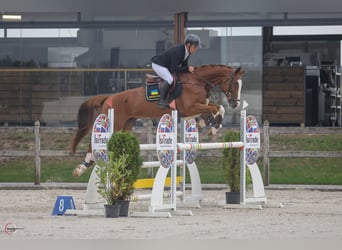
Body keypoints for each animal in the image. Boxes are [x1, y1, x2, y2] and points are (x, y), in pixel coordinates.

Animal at [71, 65, 243, 177]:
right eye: (235, 83)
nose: (236, 104)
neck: (197, 82)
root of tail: (109, 98)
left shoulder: (197, 107)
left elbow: (215, 108)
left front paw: (211, 125)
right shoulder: (190, 108)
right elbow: (217, 108)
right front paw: (213, 126)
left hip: (126, 124)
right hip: (116, 124)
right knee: (93, 143)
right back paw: (82, 167)